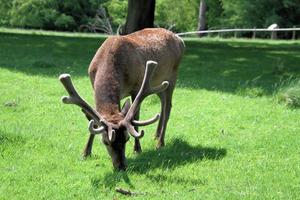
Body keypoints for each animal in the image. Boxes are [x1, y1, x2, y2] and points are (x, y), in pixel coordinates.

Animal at [59, 27, 184, 170]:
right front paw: (85, 152)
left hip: (172, 76)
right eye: (105, 141)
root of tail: (180, 39)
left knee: (168, 107)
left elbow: (135, 118)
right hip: (159, 83)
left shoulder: (137, 87)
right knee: (163, 104)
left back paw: (160, 143)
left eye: (126, 138)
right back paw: (156, 135)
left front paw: (137, 149)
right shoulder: (93, 85)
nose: (121, 166)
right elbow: (94, 120)